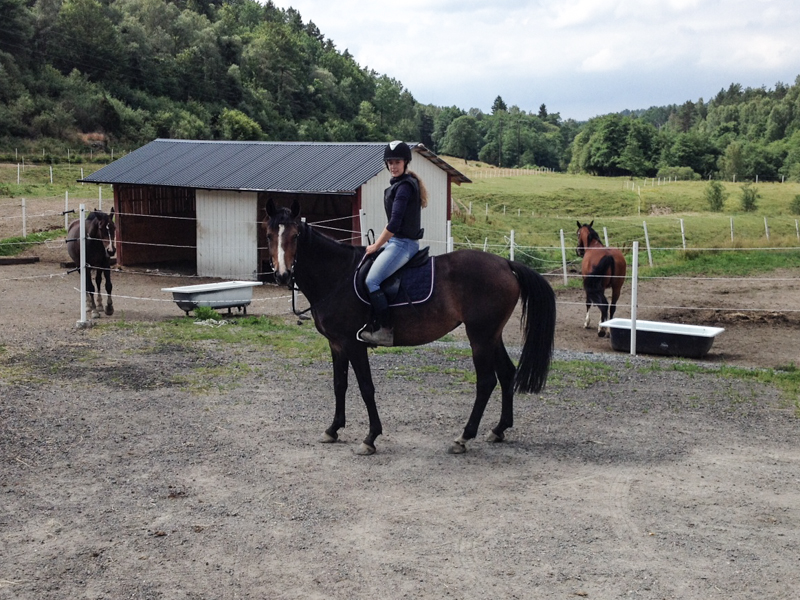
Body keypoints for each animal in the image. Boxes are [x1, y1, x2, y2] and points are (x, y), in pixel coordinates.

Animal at [265, 199, 556, 455]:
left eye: (295, 236)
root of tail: (505, 263)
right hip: (492, 335)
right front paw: (333, 429)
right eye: (269, 235)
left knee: (486, 382)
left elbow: (366, 387)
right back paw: (498, 429)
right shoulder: (336, 344)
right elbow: (340, 384)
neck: (338, 276)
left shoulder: (353, 344)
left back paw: (463, 437)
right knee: (507, 374)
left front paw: (370, 438)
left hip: (480, 337)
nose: (283, 275)